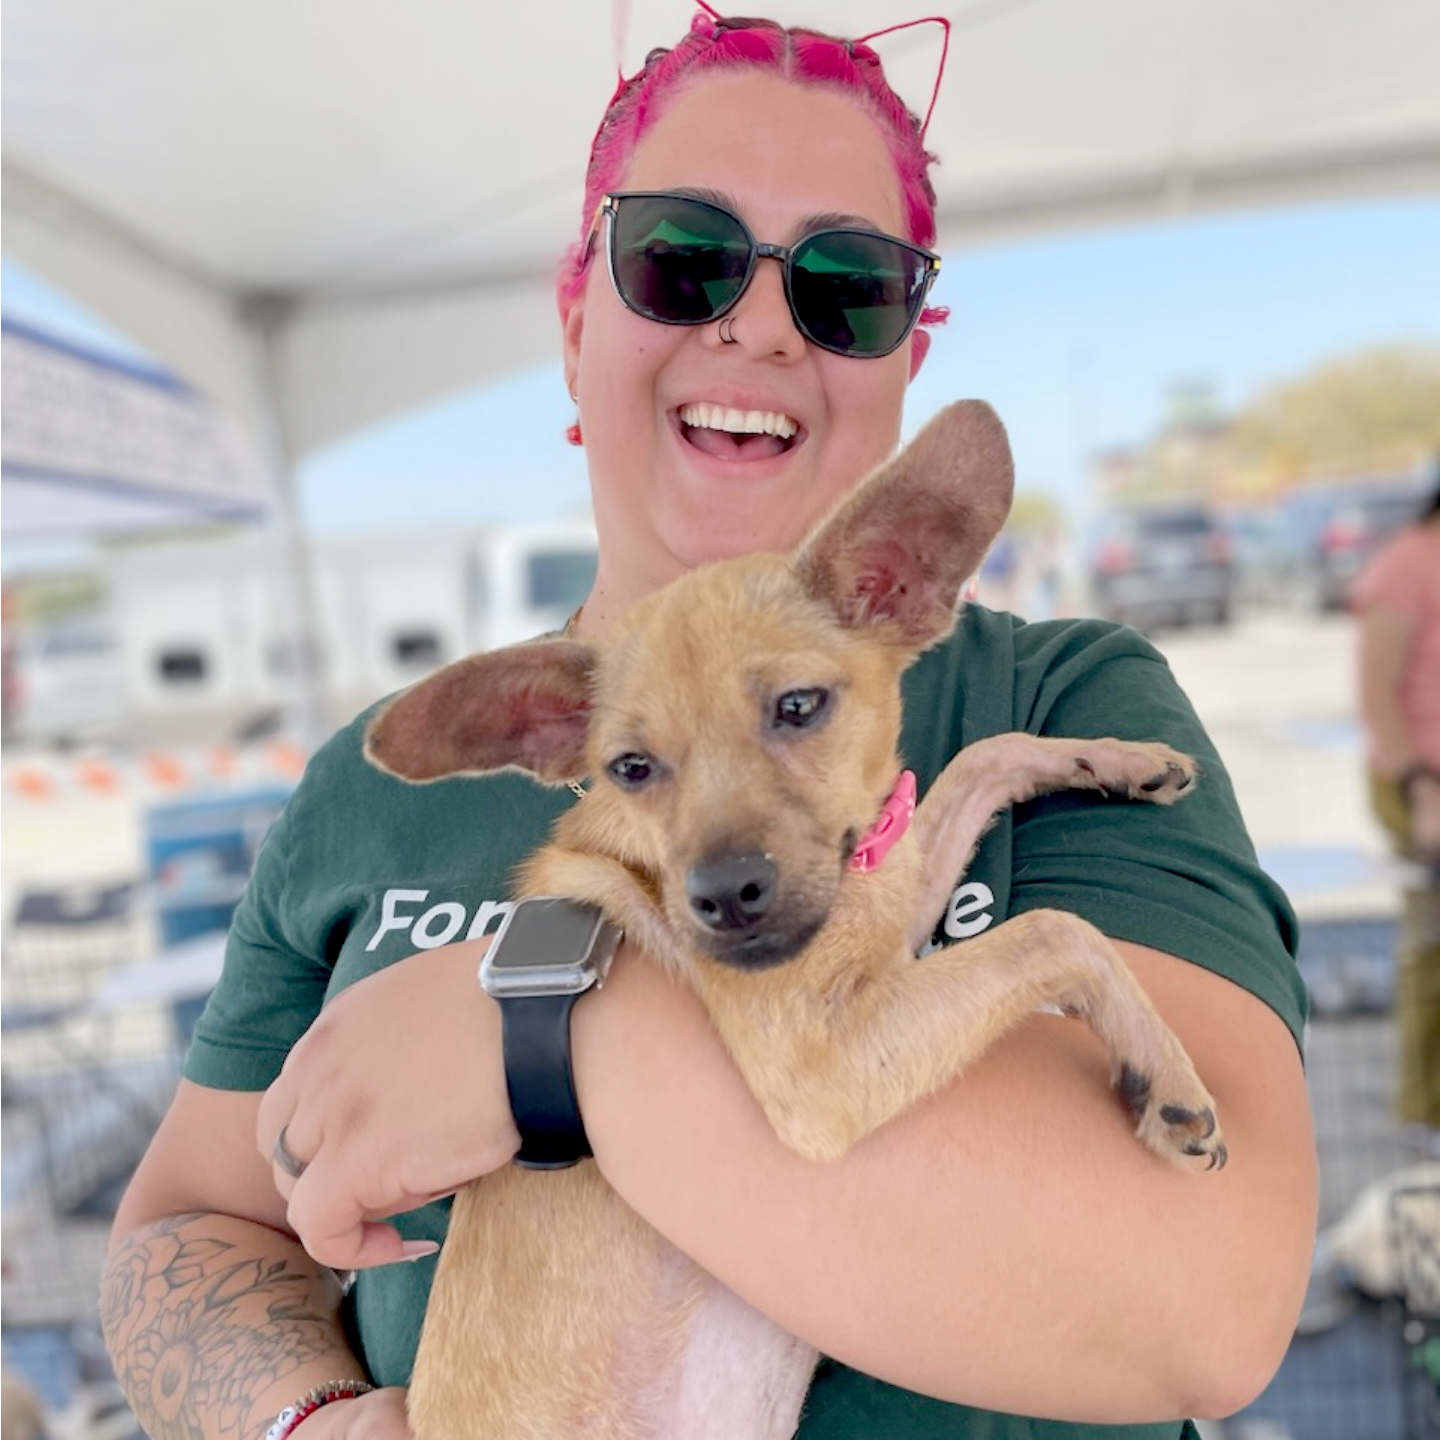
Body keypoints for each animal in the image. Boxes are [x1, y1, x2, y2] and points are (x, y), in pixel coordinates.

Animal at [362, 403, 1226, 1440]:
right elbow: (1057, 930)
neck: (857, 888)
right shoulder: (820, 1068)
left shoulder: (886, 918)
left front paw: (1117, 757)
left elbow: (986, 754)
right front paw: (1166, 1071)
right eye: (631, 769)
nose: (723, 899)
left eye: (800, 707)